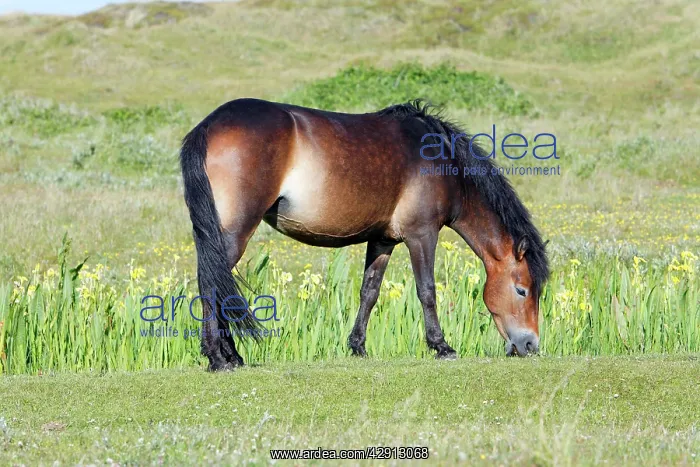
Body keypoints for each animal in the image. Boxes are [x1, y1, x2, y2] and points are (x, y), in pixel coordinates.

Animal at [180, 98, 549, 371]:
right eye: (522, 290)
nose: (530, 344)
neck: (442, 160)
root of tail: (209, 125)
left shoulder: (383, 240)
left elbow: (368, 292)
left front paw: (357, 346)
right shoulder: (422, 234)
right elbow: (427, 290)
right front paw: (441, 346)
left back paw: (228, 355)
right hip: (234, 232)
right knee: (211, 281)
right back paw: (220, 358)